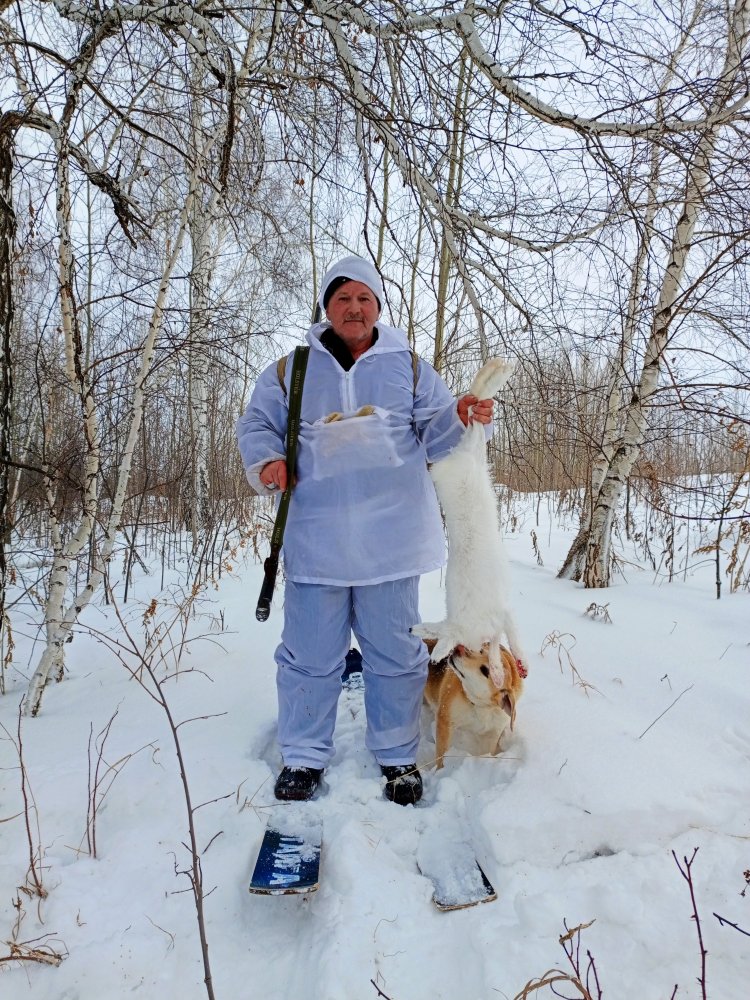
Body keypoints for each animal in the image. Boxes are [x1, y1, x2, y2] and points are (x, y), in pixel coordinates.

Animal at [423, 638, 525, 768]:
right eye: (480, 650)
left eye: (485, 671)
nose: (459, 648)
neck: (481, 706)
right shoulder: (445, 720)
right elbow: (442, 755)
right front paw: (440, 771)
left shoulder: (493, 732)